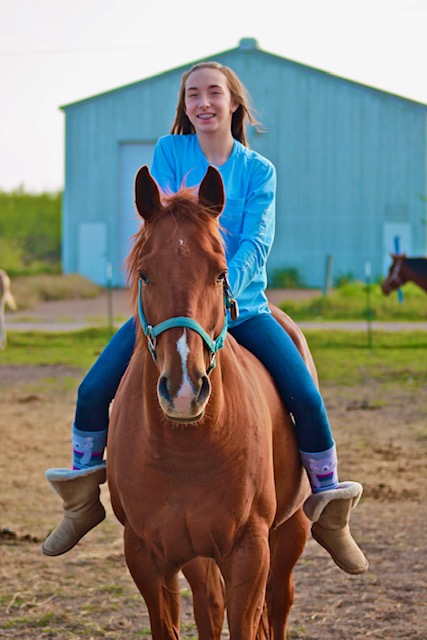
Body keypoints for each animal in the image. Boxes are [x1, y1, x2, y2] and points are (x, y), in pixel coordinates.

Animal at [107, 166, 314, 640]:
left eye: (220, 274)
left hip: (289, 531)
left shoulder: (249, 552)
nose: (184, 390)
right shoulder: (147, 558)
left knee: (279, 602)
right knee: (209, 603)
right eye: (145, 274)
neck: (185, 449)